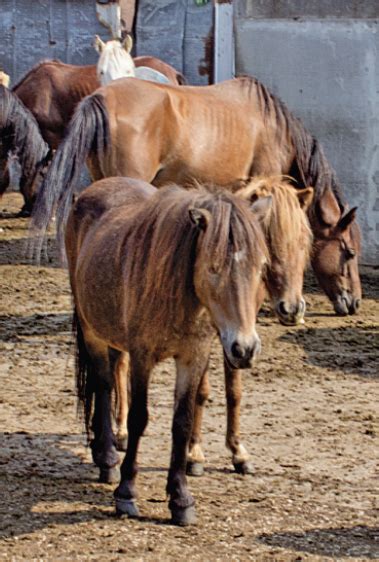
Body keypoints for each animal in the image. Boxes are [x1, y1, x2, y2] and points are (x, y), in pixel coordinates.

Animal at [64, 177, 270, 524]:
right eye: (213, 268)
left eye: (260, 267)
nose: (245, 348)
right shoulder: (142, 356)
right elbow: (139, 417)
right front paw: (126, 492)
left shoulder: (193, 356)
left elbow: (182, 421)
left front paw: (181, 498)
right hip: (91, 328)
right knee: (103, 386)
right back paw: (107, 458)